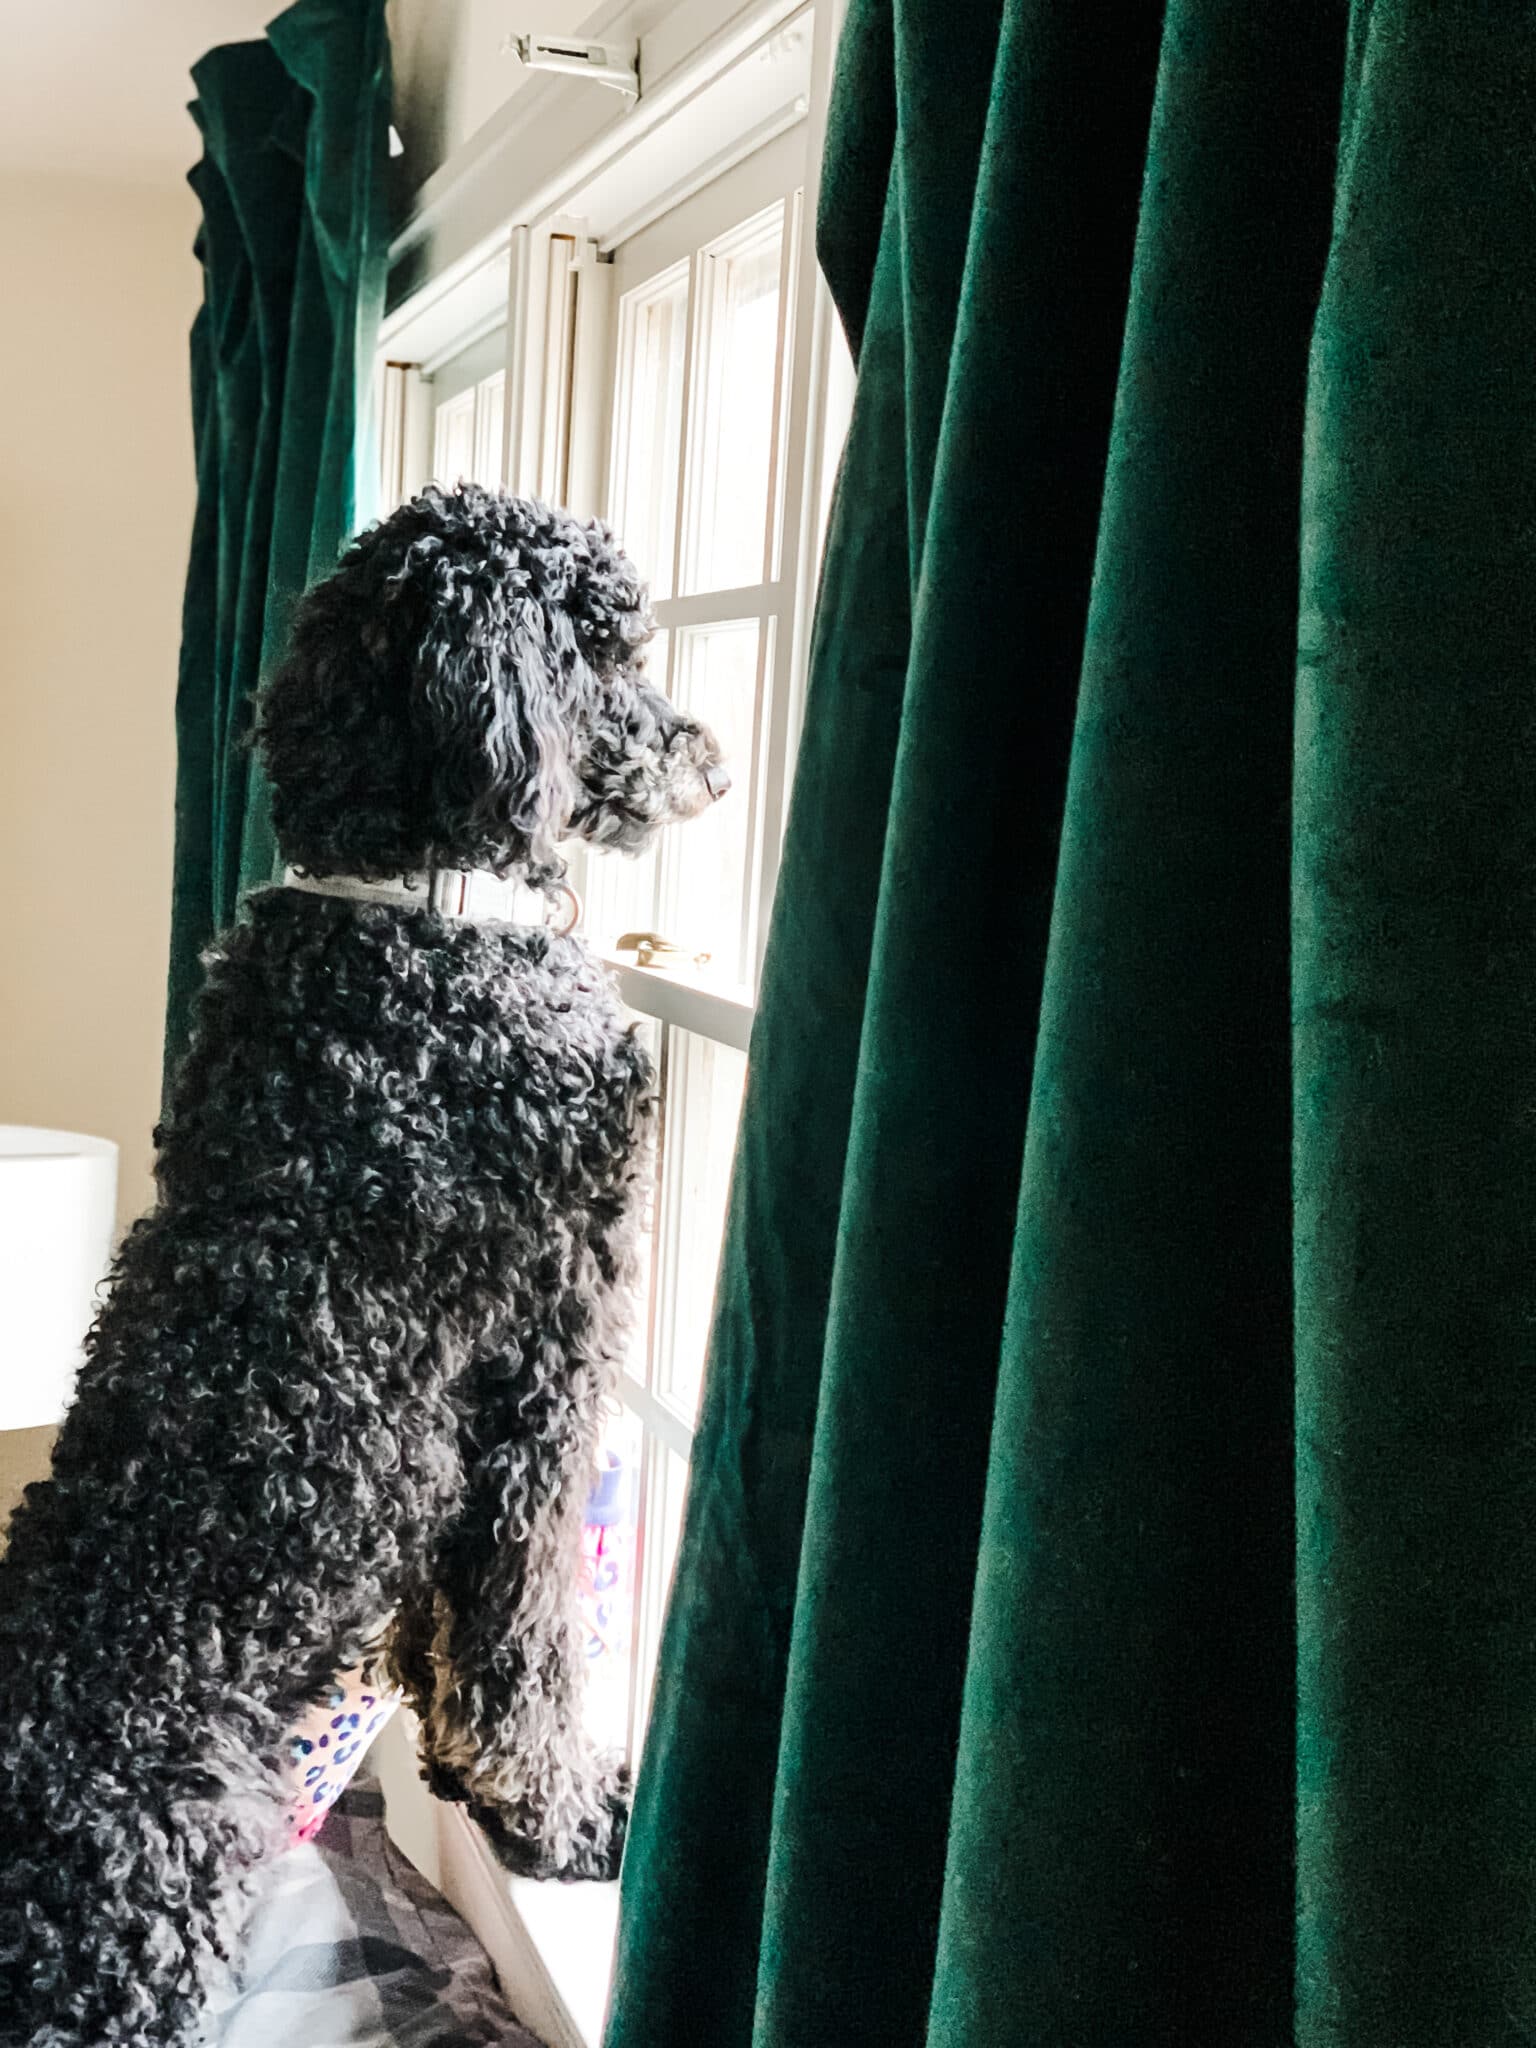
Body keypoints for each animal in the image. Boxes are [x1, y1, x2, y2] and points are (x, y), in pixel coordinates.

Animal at [0, 483, 729, 2048]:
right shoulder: (546, 1358)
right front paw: (554, 1815)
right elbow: (527, 1627)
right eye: (611, 652)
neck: (414, 905)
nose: (706, 757)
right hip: (149, 1896)